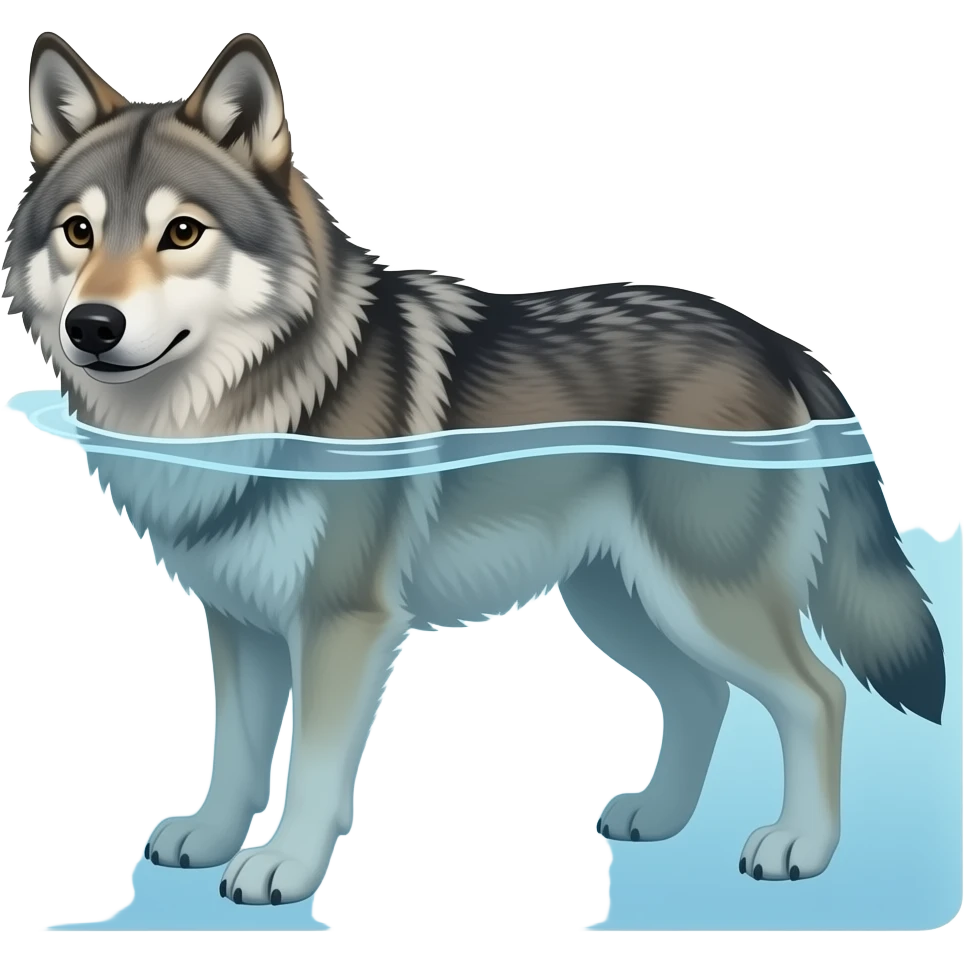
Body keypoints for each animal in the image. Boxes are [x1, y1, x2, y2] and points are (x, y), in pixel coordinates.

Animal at [4, 30, 945, 906]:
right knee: (702, 696)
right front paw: (208, 838)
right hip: (621, 602)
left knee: (818, 695)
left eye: (182, 233)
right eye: (80, 232)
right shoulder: (239, 620)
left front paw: (284, 866)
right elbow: (234, 752)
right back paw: (659, 815)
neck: (250, 406)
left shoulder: (340, 622)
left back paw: (800, 848)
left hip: (701, 597)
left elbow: (311, 766)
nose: (93, 325)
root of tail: (774, 342)